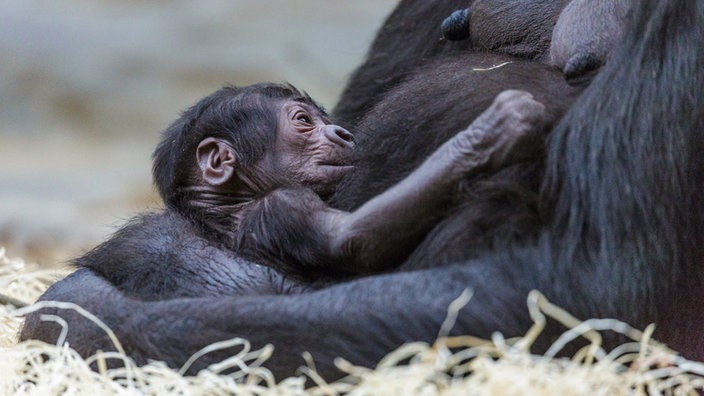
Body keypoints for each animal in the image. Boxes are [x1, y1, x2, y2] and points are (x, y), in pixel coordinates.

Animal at [74, 83, 544, 298]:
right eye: (303, 121)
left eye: (325, 119)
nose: (343, 132)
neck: (229, 207)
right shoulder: (286, 205)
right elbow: (353, 238)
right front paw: (489, 133)